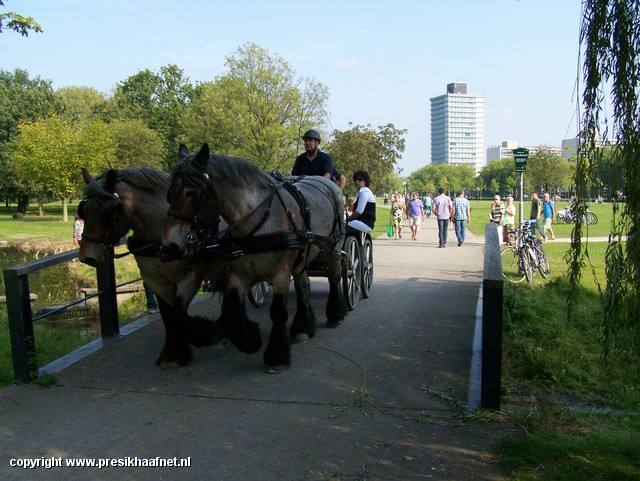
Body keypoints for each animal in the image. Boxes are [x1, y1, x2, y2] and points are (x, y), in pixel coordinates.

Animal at [78, 166, 222, 368]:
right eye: (83, 210)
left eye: (105, 213)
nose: (87, 256)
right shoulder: (155, 279)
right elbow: (168, 314)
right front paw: (172, 352)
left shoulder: (192, 275)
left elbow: (178, 312)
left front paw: (194, 341)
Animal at [162, 144, 348, 374]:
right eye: (170, 193)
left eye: (191, 193)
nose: (169, 246)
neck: (258, 221)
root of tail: (327, 183)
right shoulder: (238, 275)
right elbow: (233, 309)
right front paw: (249, 341)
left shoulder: (280, 275)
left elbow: (278, 312)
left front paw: (276, 356)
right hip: (303, 255)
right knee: (303, 285)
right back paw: (302, 327)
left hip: (333, 249)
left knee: (334, 278)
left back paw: (336, 315)